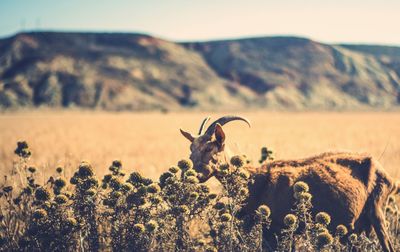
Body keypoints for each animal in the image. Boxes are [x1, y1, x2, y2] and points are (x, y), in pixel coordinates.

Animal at [180, 115, 398, 251]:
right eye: (191, 148)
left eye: (210, 148)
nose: (190, 173)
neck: (255, 181)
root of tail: (385, 173)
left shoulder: (278, 228)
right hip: (360, 227)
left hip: (377, 211)